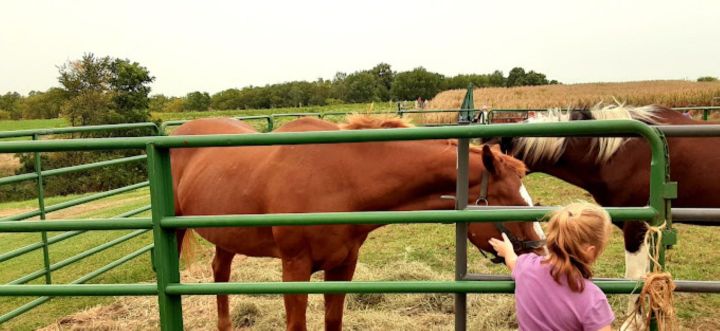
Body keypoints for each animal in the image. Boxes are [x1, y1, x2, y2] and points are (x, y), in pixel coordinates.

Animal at [172, 116, 544, 331]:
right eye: (511, 200)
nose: (539, 252)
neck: (338, 178)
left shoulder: (343, 266)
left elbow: (333, 320)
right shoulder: (295, 268)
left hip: (226, 236)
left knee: (220, 272)